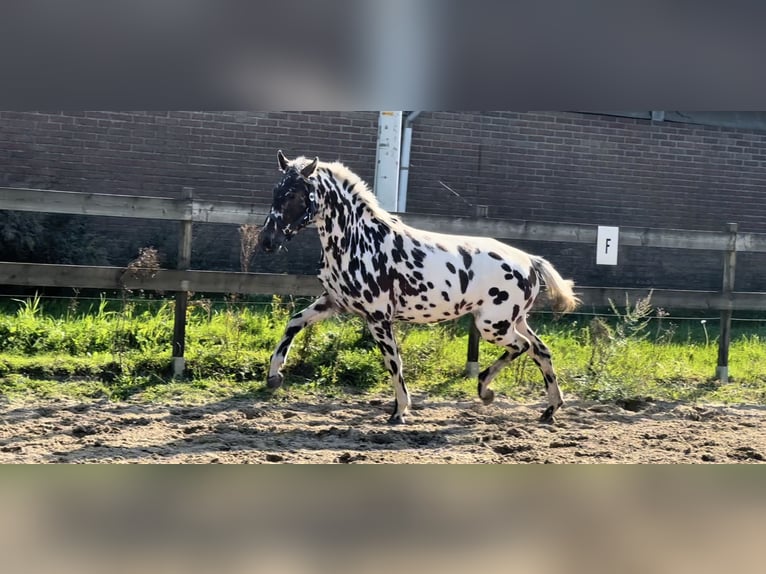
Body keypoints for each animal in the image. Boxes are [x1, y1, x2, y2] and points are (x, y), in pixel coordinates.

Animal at [260, 151, 584, 426]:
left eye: (294, 194)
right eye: (274, 191)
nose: (266, 241)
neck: (359, 240)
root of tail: (529, 261)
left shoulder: (378, 318)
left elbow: (394, 362)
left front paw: (400, 412)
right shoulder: (333, 302)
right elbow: (294, 323)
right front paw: (274, 377)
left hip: (493, 325)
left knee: (523, 347)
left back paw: (486, 391)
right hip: (513, 320)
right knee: (542, 351)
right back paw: (550, 409)